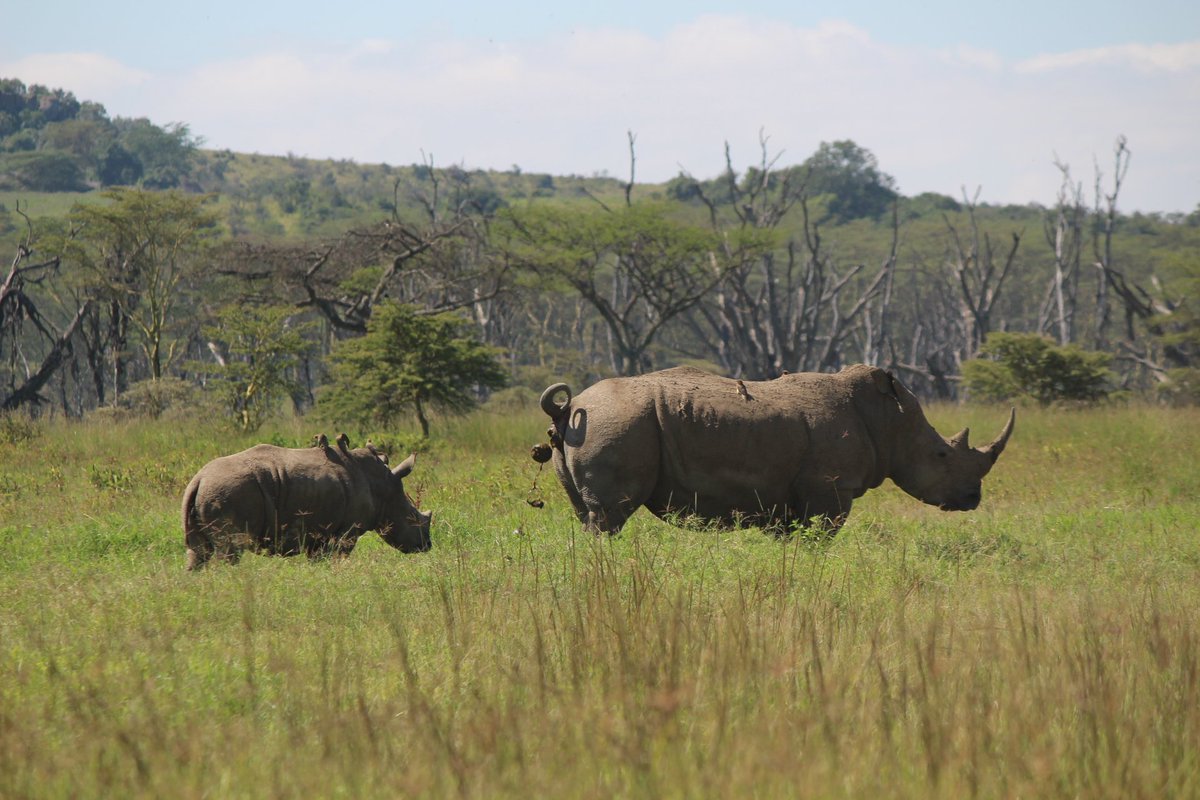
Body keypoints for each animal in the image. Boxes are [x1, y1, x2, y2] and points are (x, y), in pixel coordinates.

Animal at [181, 443, 431, 570]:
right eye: (413, 518)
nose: (427, 545)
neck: (385, 489)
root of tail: (198, 479)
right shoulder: (347, 531)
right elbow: (339, 557)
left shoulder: (318, 532)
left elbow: (317, 561)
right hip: (227, 491)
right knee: (229, 552)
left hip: (209, 492)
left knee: (198, 552)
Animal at [537, 365, 1014, 534]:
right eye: (942, 456)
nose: (972, 499)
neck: (886, 418)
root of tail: (569, 408)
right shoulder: (830, 489)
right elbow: (819, 537)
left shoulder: (788, 495)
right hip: (614, 422)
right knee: (609, 515)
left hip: (598, 426)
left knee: (586, 513)